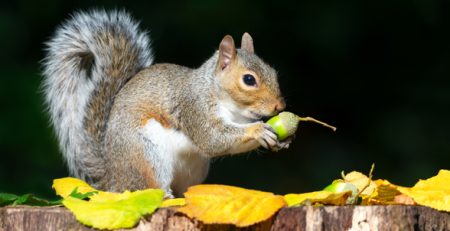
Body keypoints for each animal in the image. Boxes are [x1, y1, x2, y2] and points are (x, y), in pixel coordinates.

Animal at [43, 9, 292, 197]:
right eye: (249, 80)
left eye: (273, 71)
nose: (279, 107)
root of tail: (113, 178)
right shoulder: (194, 107)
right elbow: (212, 139)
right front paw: (258, 131)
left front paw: (282, 140)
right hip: (146, 154)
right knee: (147, 188)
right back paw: (165, 197)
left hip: (193, 169)